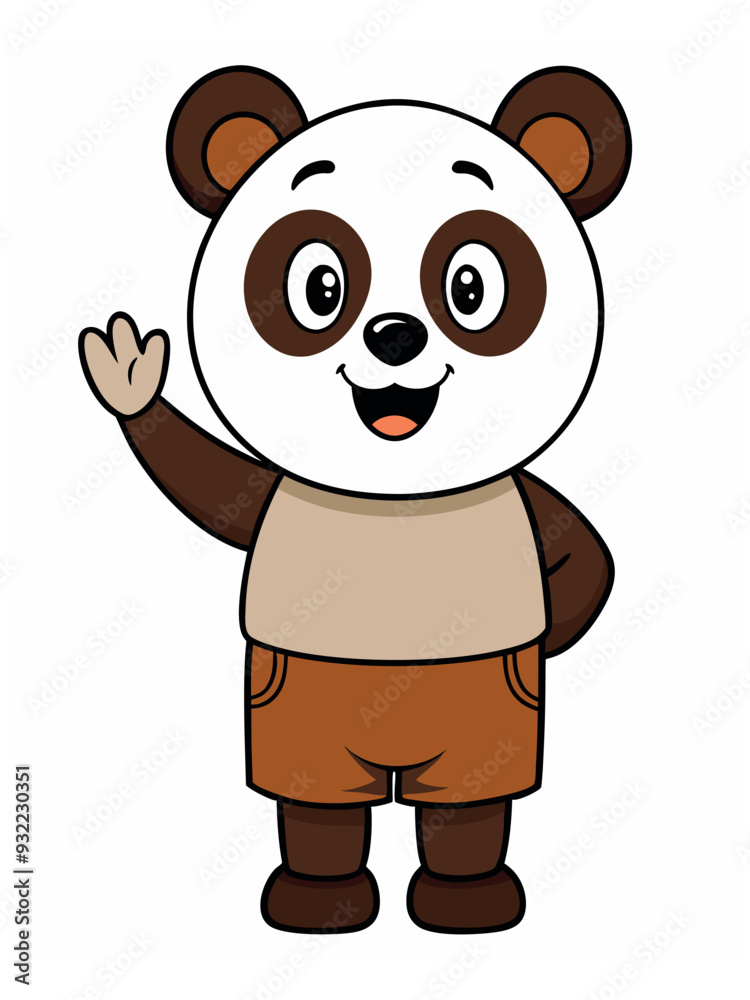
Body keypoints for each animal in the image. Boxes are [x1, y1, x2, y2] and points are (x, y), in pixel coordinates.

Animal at [80, 65, 630, 935]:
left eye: (470, 285)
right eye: (320, 286)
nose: (396, 334)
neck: (393, 493)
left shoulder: (519, 503)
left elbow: (586, 556)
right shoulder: (278, 515)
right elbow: (215, 489)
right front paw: (129, 381)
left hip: (477, 735)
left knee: (465, 807)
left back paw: (468, 901)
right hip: (299, 719)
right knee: (322, 807)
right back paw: (319, 902)